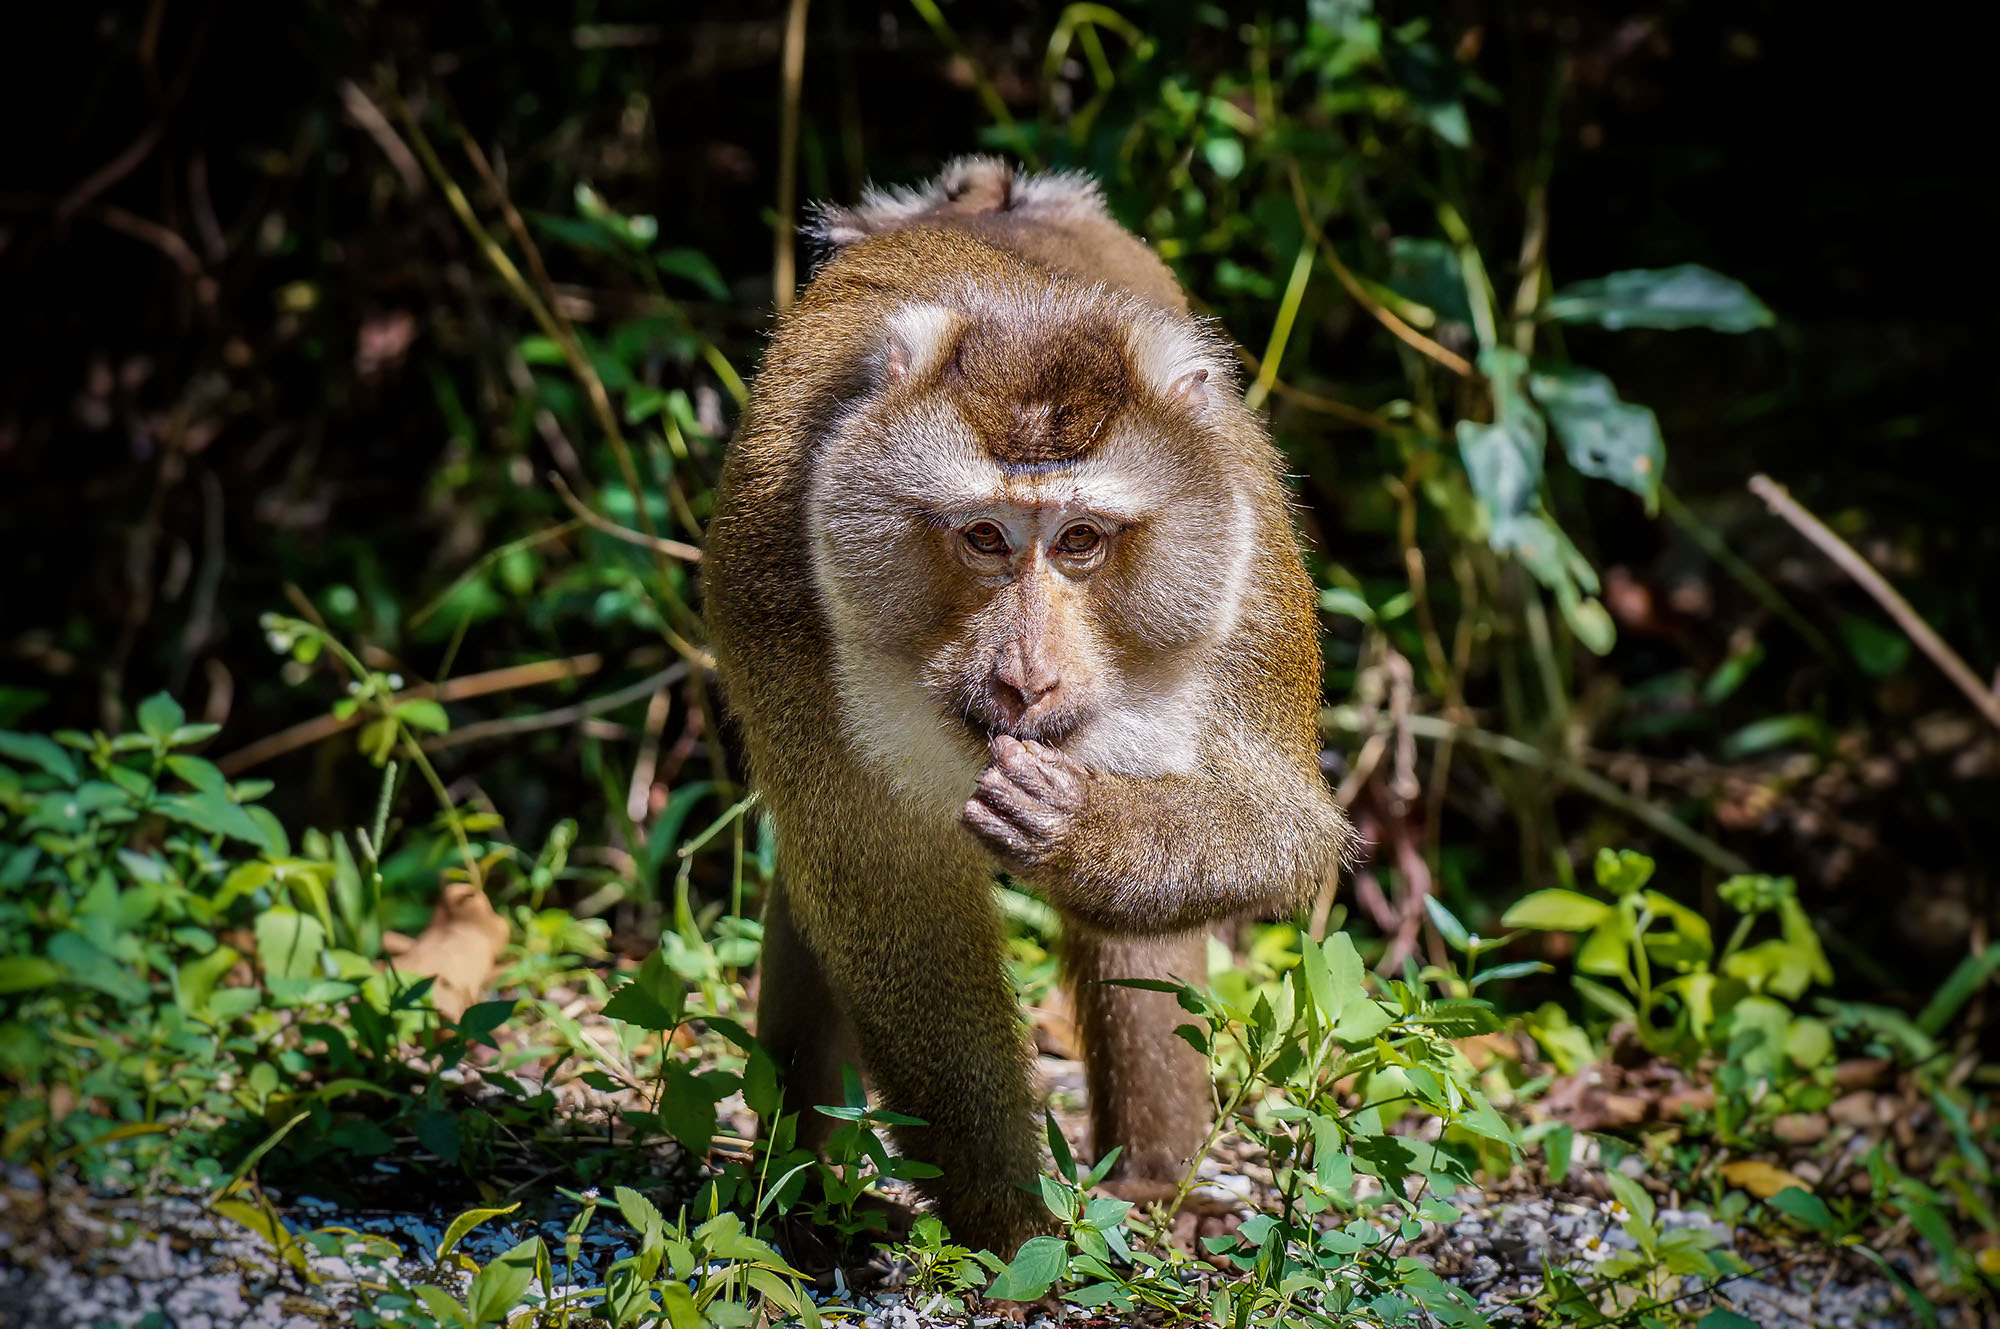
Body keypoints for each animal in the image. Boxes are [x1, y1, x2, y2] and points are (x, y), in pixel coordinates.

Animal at [703, 156, 1349, 1256]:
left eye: (1081, 539)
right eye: (983, 538)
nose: (1024, 679)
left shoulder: (1250, 561)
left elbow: (1282, 827)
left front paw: (1076, 828)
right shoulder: (779, 588)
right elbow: (889, 894)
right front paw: (1011, 1223)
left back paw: (1154, 1180)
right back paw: (796, 1190)